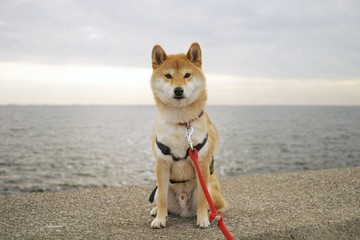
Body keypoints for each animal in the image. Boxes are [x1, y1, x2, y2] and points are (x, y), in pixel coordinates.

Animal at [148, 43, 226, 229]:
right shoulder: (162, 164)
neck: (182, 123)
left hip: (211, 188)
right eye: (168, 76)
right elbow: (162, 201)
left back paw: (212, 215)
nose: (178, 90)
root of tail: (184, 208)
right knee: (162, 200)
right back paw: (156, 211)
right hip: (158, 188)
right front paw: (160, 219)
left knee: (215, 204)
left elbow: (203, 200)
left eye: (187, 75)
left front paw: (202, 219)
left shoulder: (201, 162)